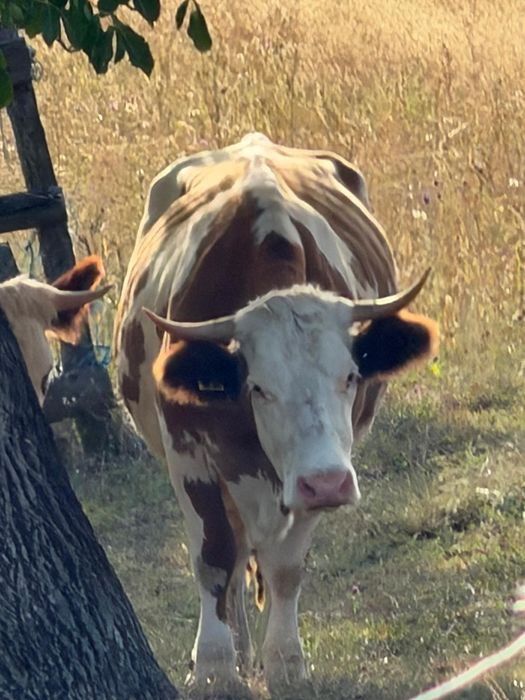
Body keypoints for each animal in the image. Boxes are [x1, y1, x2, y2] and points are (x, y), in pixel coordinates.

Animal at [114, 133, 438, 696]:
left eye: (350, 377)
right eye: (259, 387)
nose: (328, 484)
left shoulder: (312, 467)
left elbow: (285, 567)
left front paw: (286, 663)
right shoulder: (189, 456)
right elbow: (214, 558)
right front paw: (215, 666)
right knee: (232, 553)